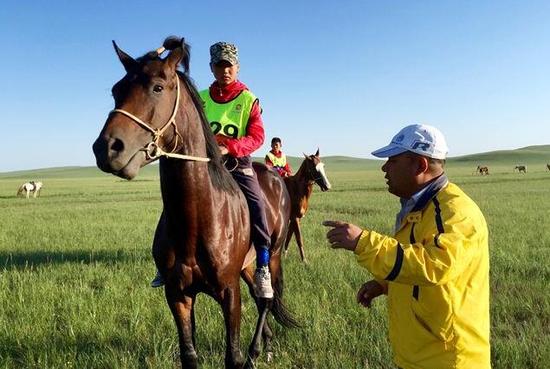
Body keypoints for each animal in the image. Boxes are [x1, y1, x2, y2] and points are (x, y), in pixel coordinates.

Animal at [91, 38, 298, 368]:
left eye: (158, 87)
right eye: (116, 90)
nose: (107, 148)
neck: (198, 220)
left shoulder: (229, 292)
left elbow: (232, 355)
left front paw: (245, 355)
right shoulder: (178, 294)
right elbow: (189, 354)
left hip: (274, 255)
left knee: (265, 298)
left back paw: (256, 350)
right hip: (247, 266)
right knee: (259, 296)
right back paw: (265, 344)